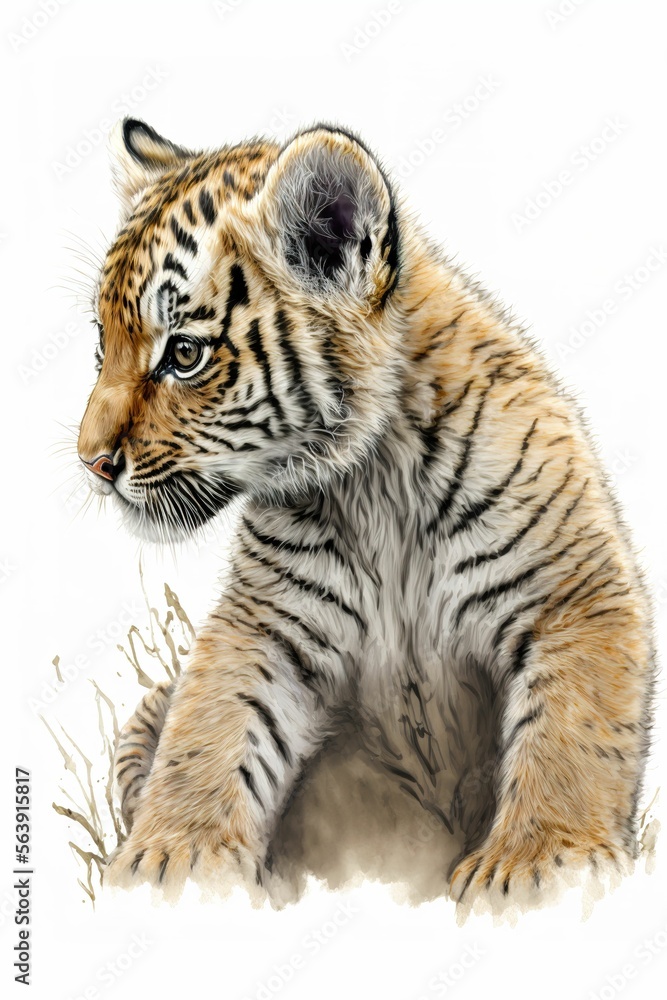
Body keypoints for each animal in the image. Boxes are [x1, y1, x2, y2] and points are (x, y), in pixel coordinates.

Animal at [77, 117, 655, 907]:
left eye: (185, 354)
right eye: (102, 347)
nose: (90, 461)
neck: (369, 479)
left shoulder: (572, 592)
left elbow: (569, 731)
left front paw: (537, 865)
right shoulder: (266, 621)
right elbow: (208, 731)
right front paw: (172, 863)